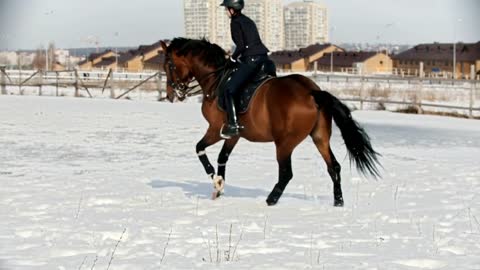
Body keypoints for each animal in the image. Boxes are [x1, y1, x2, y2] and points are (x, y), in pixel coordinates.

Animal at [161, 38, 382, 207]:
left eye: (169, 65)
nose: (172, 94)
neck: (215, 80)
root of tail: (312, 92)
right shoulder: (233, 134)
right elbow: (222, 157)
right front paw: (219, 187)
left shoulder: (215, 129)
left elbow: (199, 148)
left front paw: (215, 180)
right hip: (320, 137)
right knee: (333, 167)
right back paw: (338, 201)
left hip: (284, 143)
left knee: (286, 174)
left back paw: (271, 200)